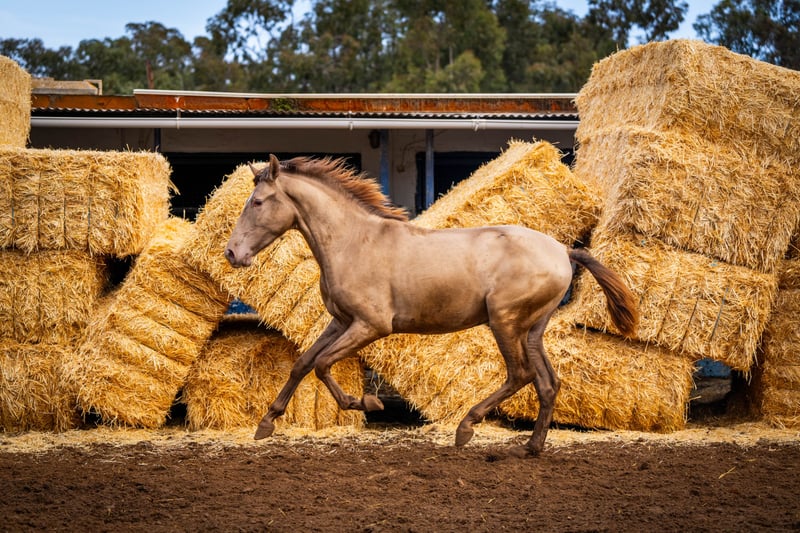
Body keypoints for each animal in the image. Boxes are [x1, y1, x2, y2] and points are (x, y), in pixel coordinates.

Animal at [224, 154, 639, 456]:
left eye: (257, 202)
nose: (232, 253)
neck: (354, 242)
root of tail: (562, 250)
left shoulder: (371, 325)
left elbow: (324, 364)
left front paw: (366, 403)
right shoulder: (341, 321)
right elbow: (303, 363)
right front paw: (266, 423)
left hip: (504, 322)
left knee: (519, 374)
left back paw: (466, 428)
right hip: (532, 329)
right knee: (548, 383)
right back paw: (531, 447)